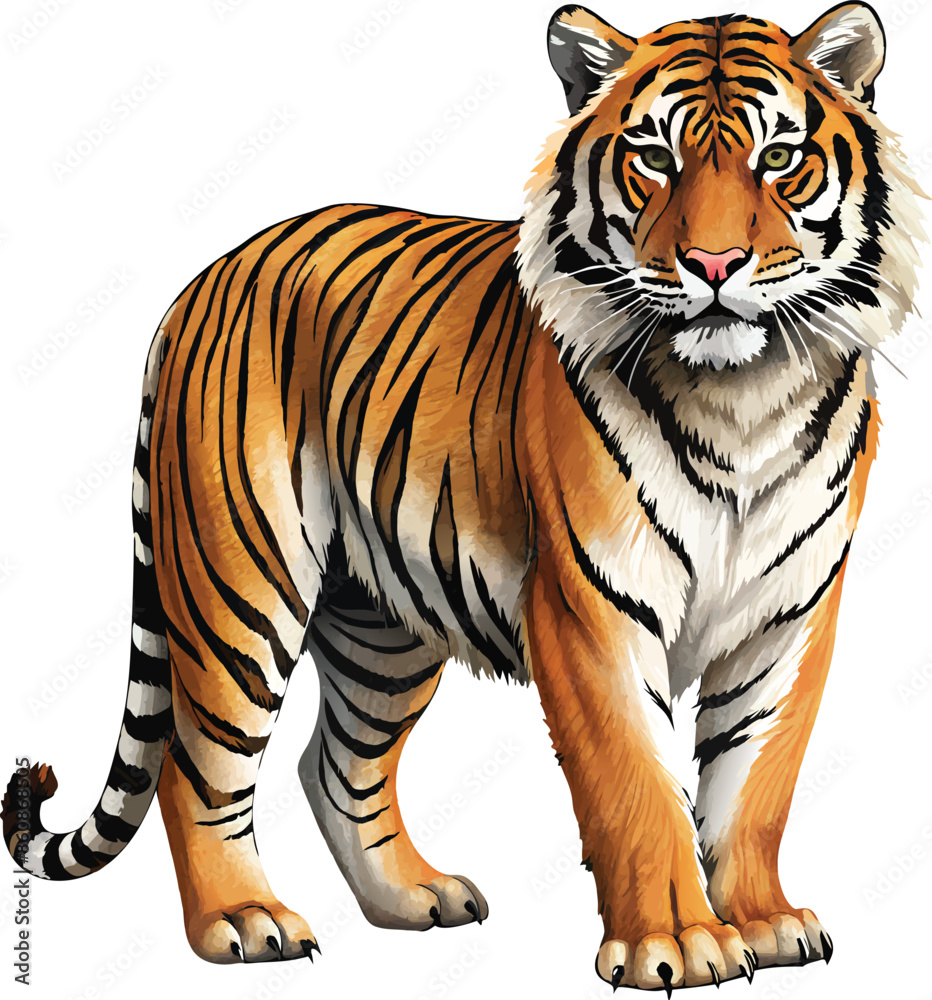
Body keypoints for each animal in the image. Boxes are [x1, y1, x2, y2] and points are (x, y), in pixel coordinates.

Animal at [2, 2, 924, 993]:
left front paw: (763, 922)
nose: (713, 264)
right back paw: (244, 920)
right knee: (195, 762)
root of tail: (207, 277)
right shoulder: (589, 611)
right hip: (239, 585)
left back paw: (414, 900)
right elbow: (637, 784)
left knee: (336, 765)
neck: (741, 399)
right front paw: (677, 943)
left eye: (779, 158)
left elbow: (755, 782)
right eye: (653, 158)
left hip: (381, 623)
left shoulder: (786, 618)